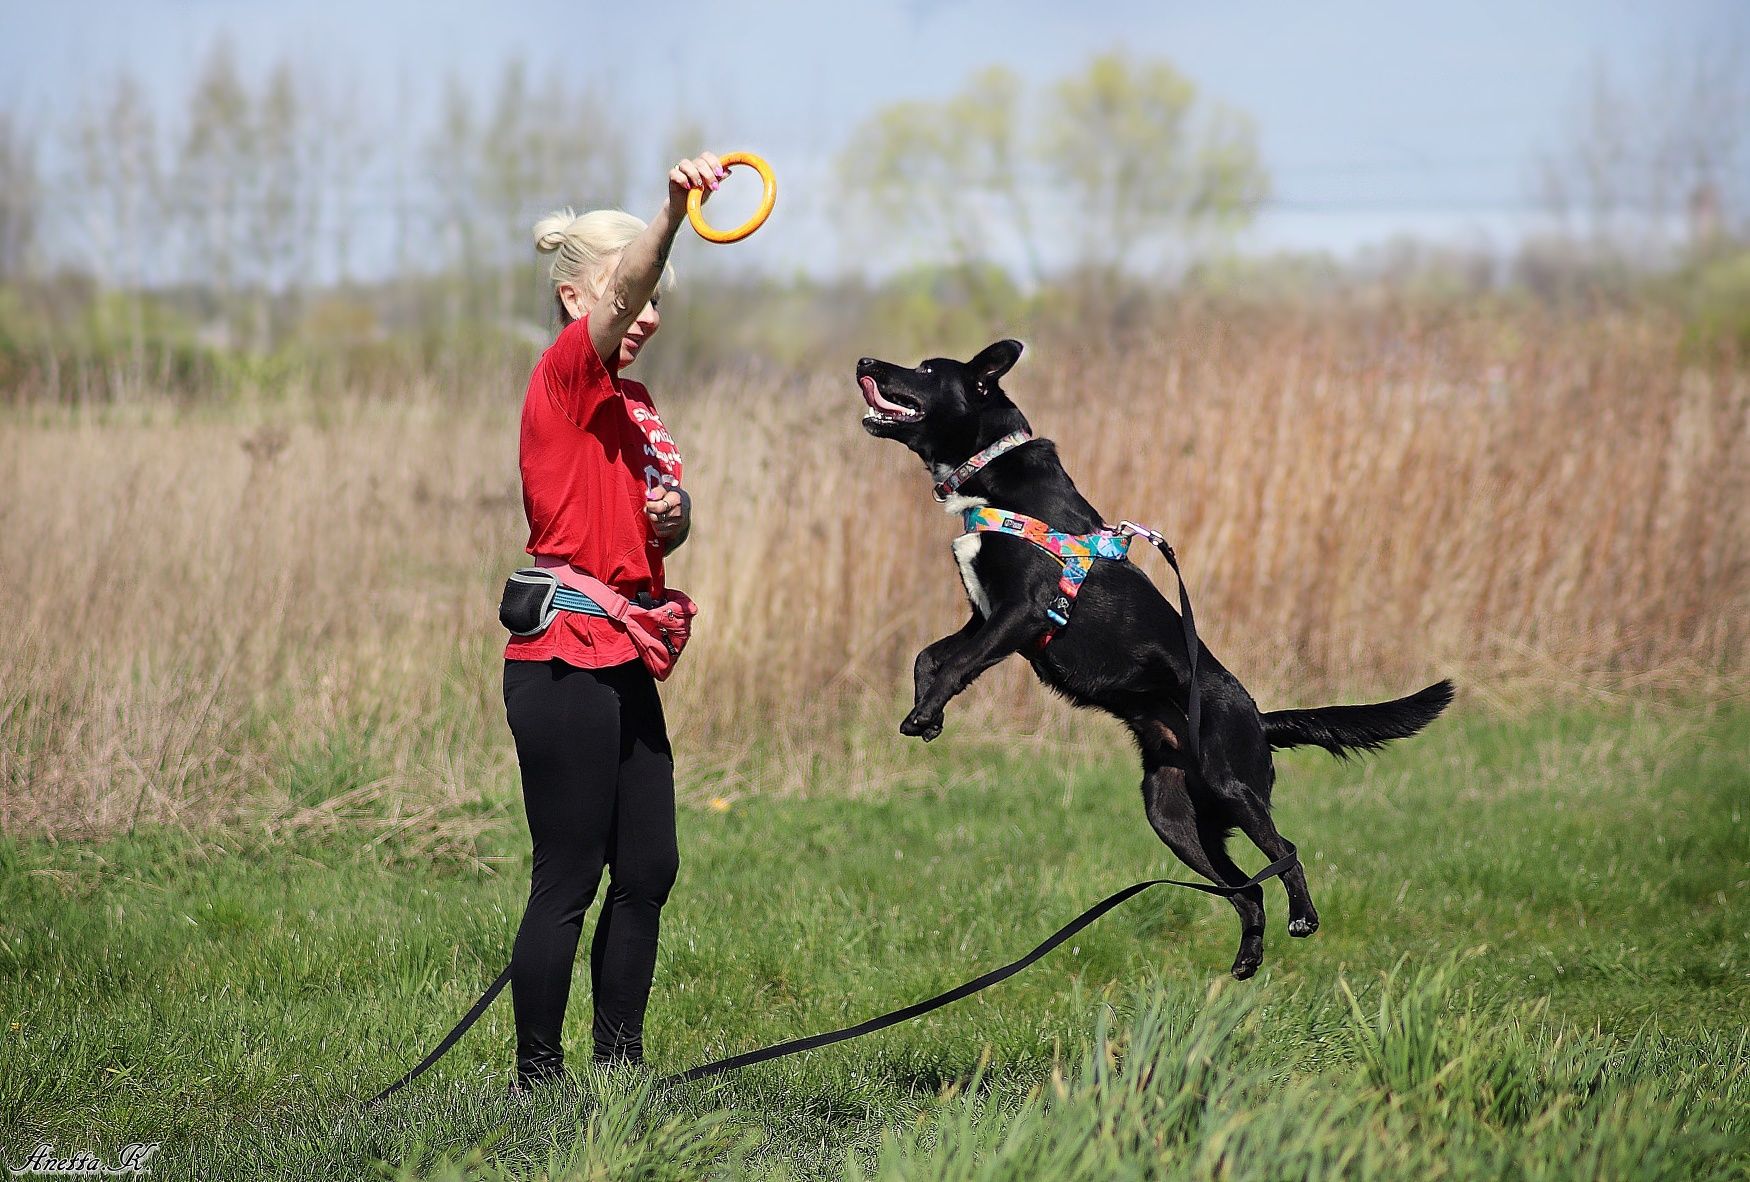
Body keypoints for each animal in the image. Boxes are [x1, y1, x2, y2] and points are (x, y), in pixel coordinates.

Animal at [857, 339, 1449, 980]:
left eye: (925, 370)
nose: (865, 362)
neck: (989, 471)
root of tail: (1259, 719)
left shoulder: (1024, 611)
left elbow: (953, 663)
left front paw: (926, 714)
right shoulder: (985, 615)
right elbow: (929, 656)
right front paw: (928, 714)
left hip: (1231, 783)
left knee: (1285, 854)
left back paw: (1303, 918)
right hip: (1171, 813)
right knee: (1245, 888)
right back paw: (1248, 959)